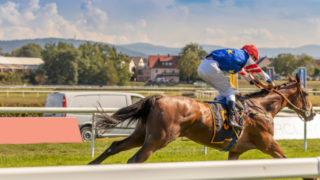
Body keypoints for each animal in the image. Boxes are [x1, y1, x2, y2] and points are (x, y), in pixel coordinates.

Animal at [89, 74, 316, 165]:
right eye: (305, 93)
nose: (312, 113)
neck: (260, 108)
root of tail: (157, 97)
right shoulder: (268, 144)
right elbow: (285, 159)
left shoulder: (236, 151)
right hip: (157, 139)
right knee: (135, 160)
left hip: (141, 134)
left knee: (115, 146)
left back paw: (92, 165)